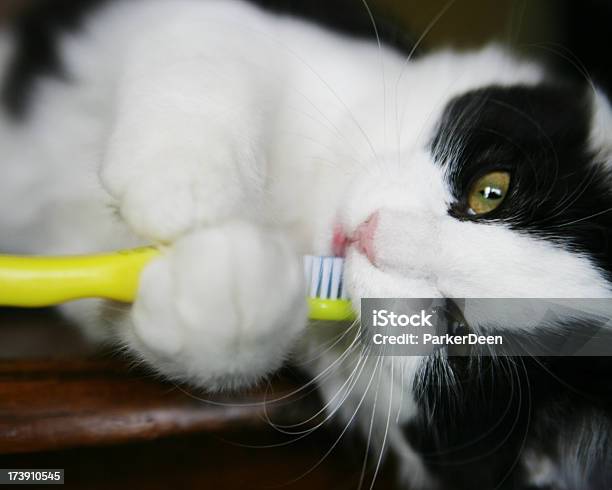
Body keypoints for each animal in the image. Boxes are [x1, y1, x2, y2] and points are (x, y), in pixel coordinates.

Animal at [1, 0, 612, 490]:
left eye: (460, 338)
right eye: (490, 191)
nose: (369, 235)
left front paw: (226, 289)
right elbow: (213, 46)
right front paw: (183, 185)